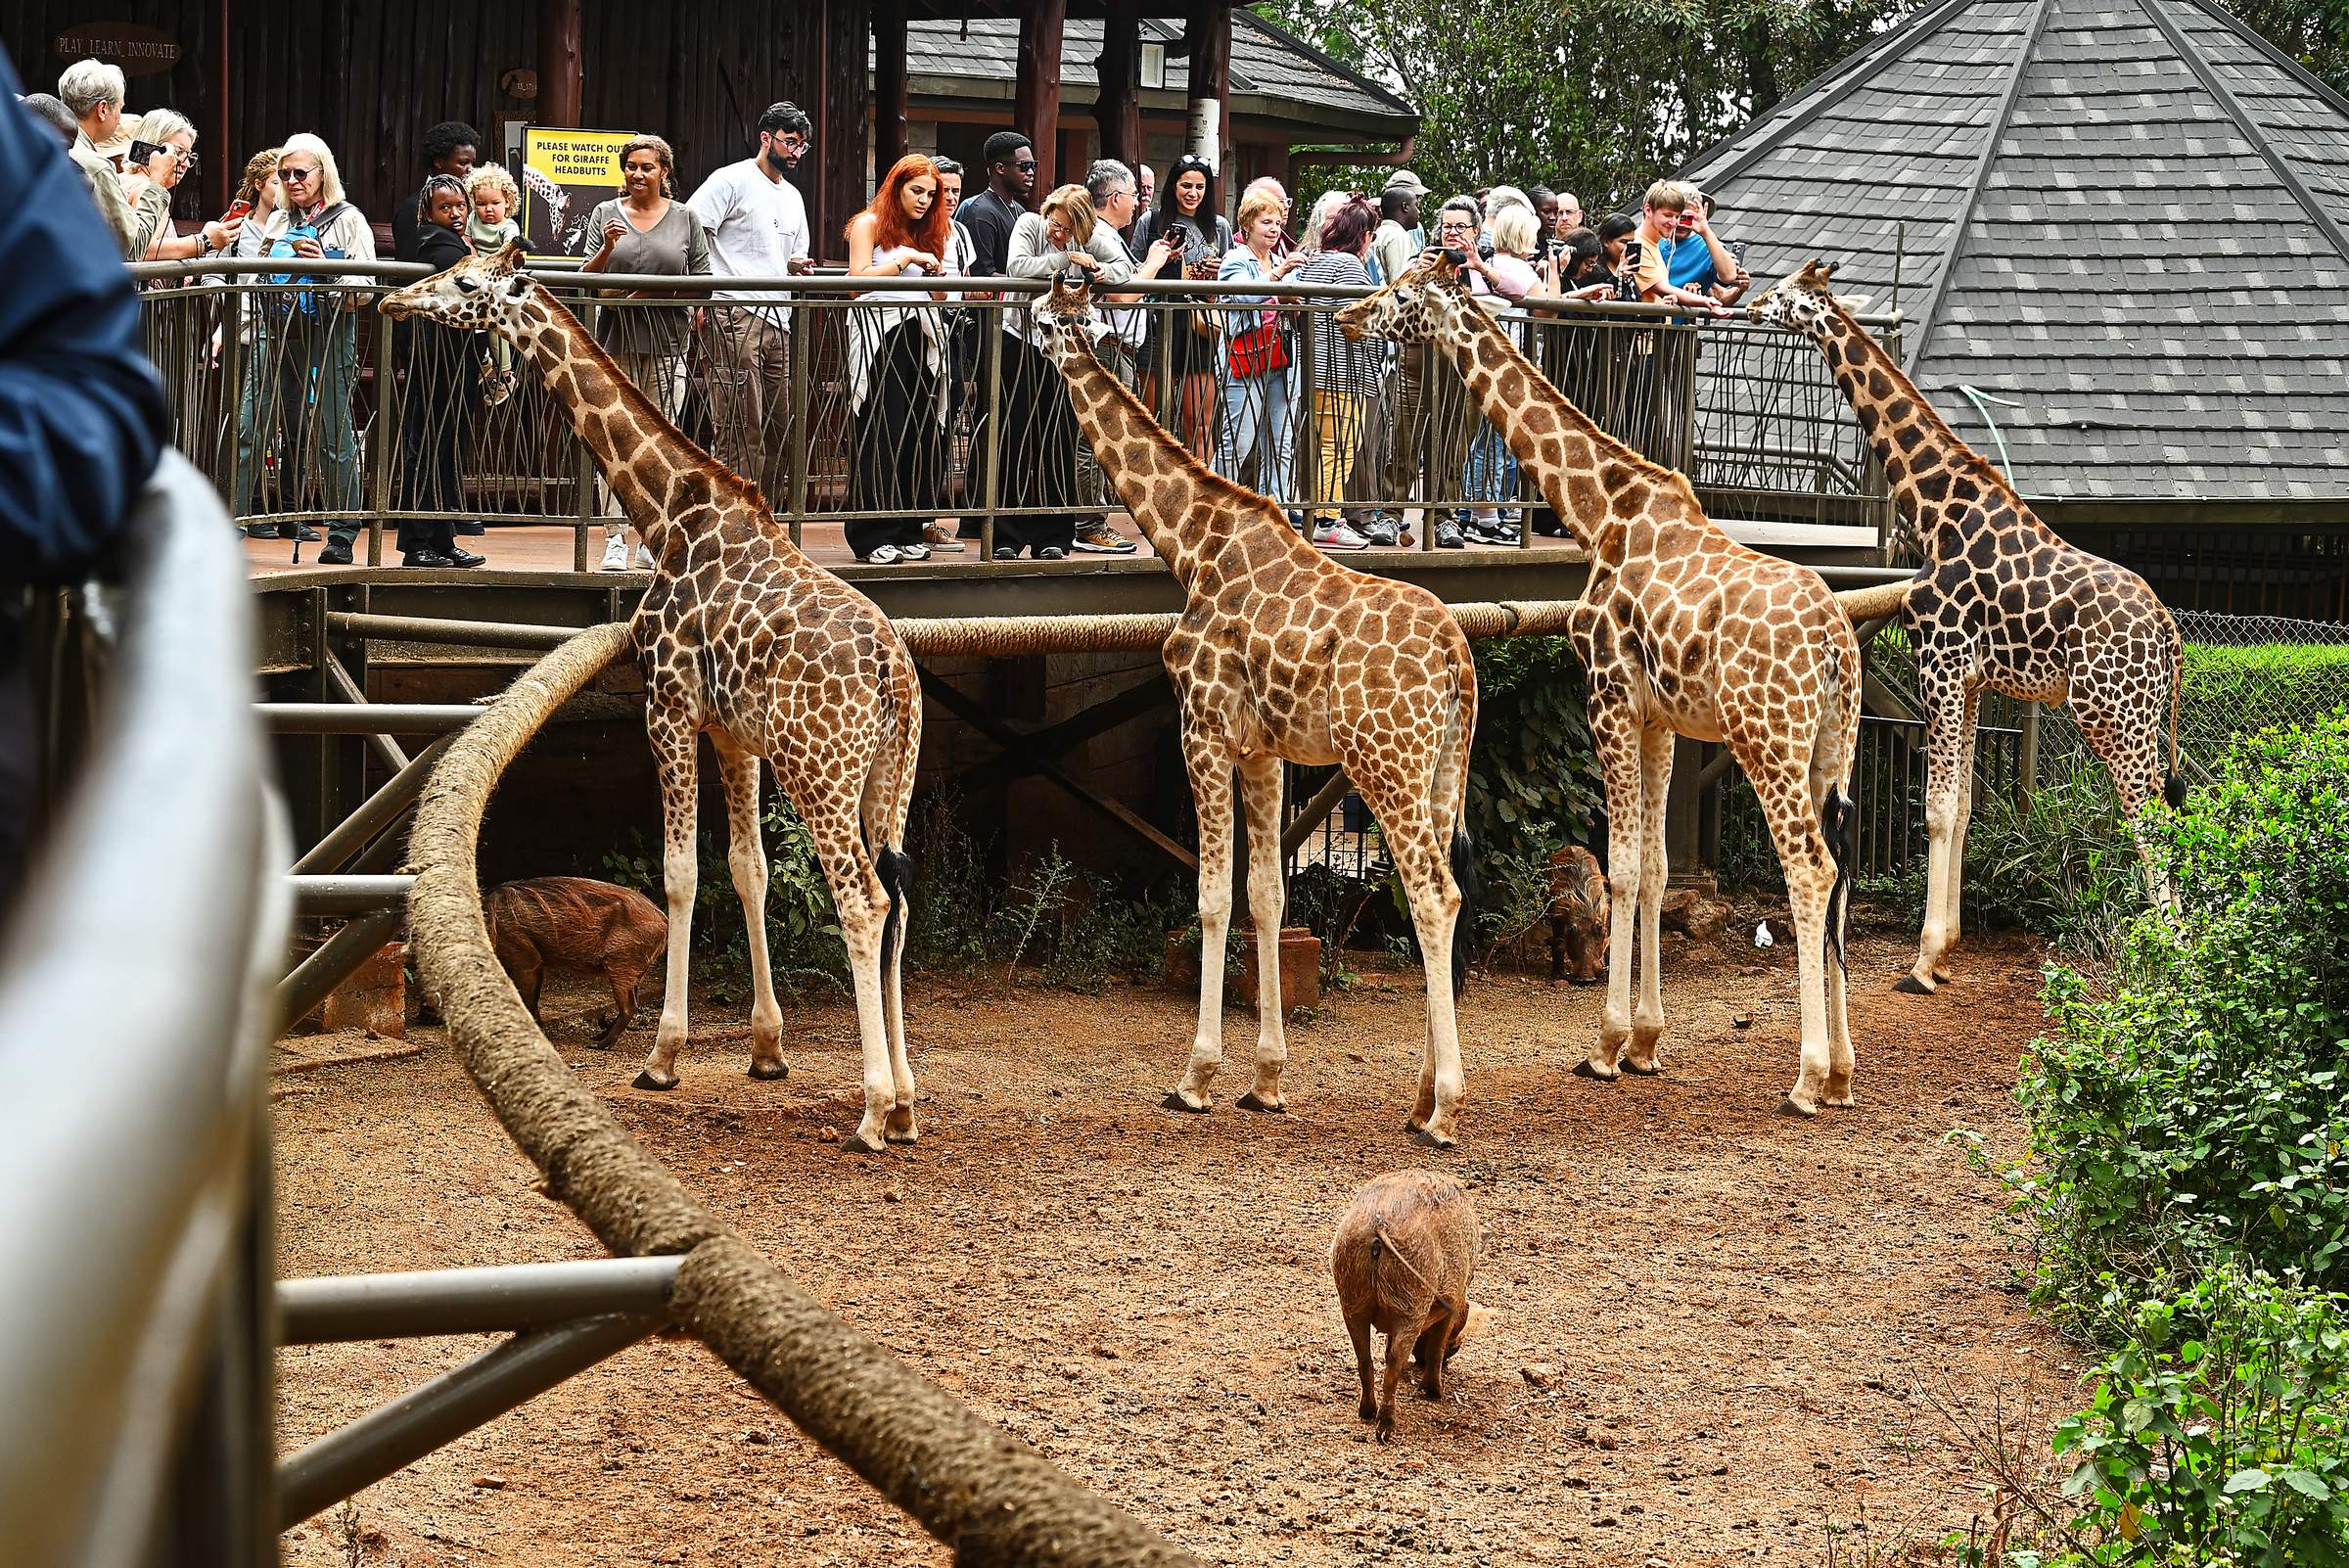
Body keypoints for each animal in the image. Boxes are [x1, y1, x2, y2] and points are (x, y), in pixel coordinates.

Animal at [380, 241, 925, 1152]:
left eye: (465, 282)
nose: (393, 301)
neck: (668, 509)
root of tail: (892, 669)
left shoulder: (665, 700)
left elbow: (679, 874)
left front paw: (662, 1059)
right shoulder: (733, 732)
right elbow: (748, 869)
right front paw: (767, 1050)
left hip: (820, 768)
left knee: (863, 898)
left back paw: (874, 1111)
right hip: (891, 771)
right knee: (902, 896)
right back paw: (912, 1102)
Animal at [1028, 274, 1482, 1146]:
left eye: (1040, 316)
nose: (1017, 332)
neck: (1192, 547)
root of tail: (1457, 657)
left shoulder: (1200, 728)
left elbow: (1211, 896)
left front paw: (1195, 1077)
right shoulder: (1265, 749)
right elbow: (1268, 896)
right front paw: (1266, 1079)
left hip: (1384, 761)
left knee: (1432, 894)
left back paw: (1445, 1109)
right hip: (1445, 766)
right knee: (1441, 888)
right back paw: (1418, 1099)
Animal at [1336, 254, 1865, 1115]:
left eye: (1403, 292)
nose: (1350, 316)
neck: (1599, 509)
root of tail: (1836, 645)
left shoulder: (1607, 694)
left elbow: (1618, 868)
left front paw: (1608, 1045)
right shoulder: (1660, 719)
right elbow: (1652, 868)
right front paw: (1647, 1040)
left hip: (1769, 741)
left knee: (1812, 868)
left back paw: (1807, 1077)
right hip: (1832, 746)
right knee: (1844, 871)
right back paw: (1847, 1071)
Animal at [1751, 260, 2186, 994]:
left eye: (1785, 293)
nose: (1749, 302)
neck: (1933, 511)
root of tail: (2169, 631)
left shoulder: (1941, 661)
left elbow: (1936, 808)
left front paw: (1923, 961)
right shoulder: (1974, 679)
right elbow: (1963, 809)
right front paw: (1947, 948)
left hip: (2110, 713)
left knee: (2148, 817)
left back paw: (2170, 956)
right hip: (2141, 713)